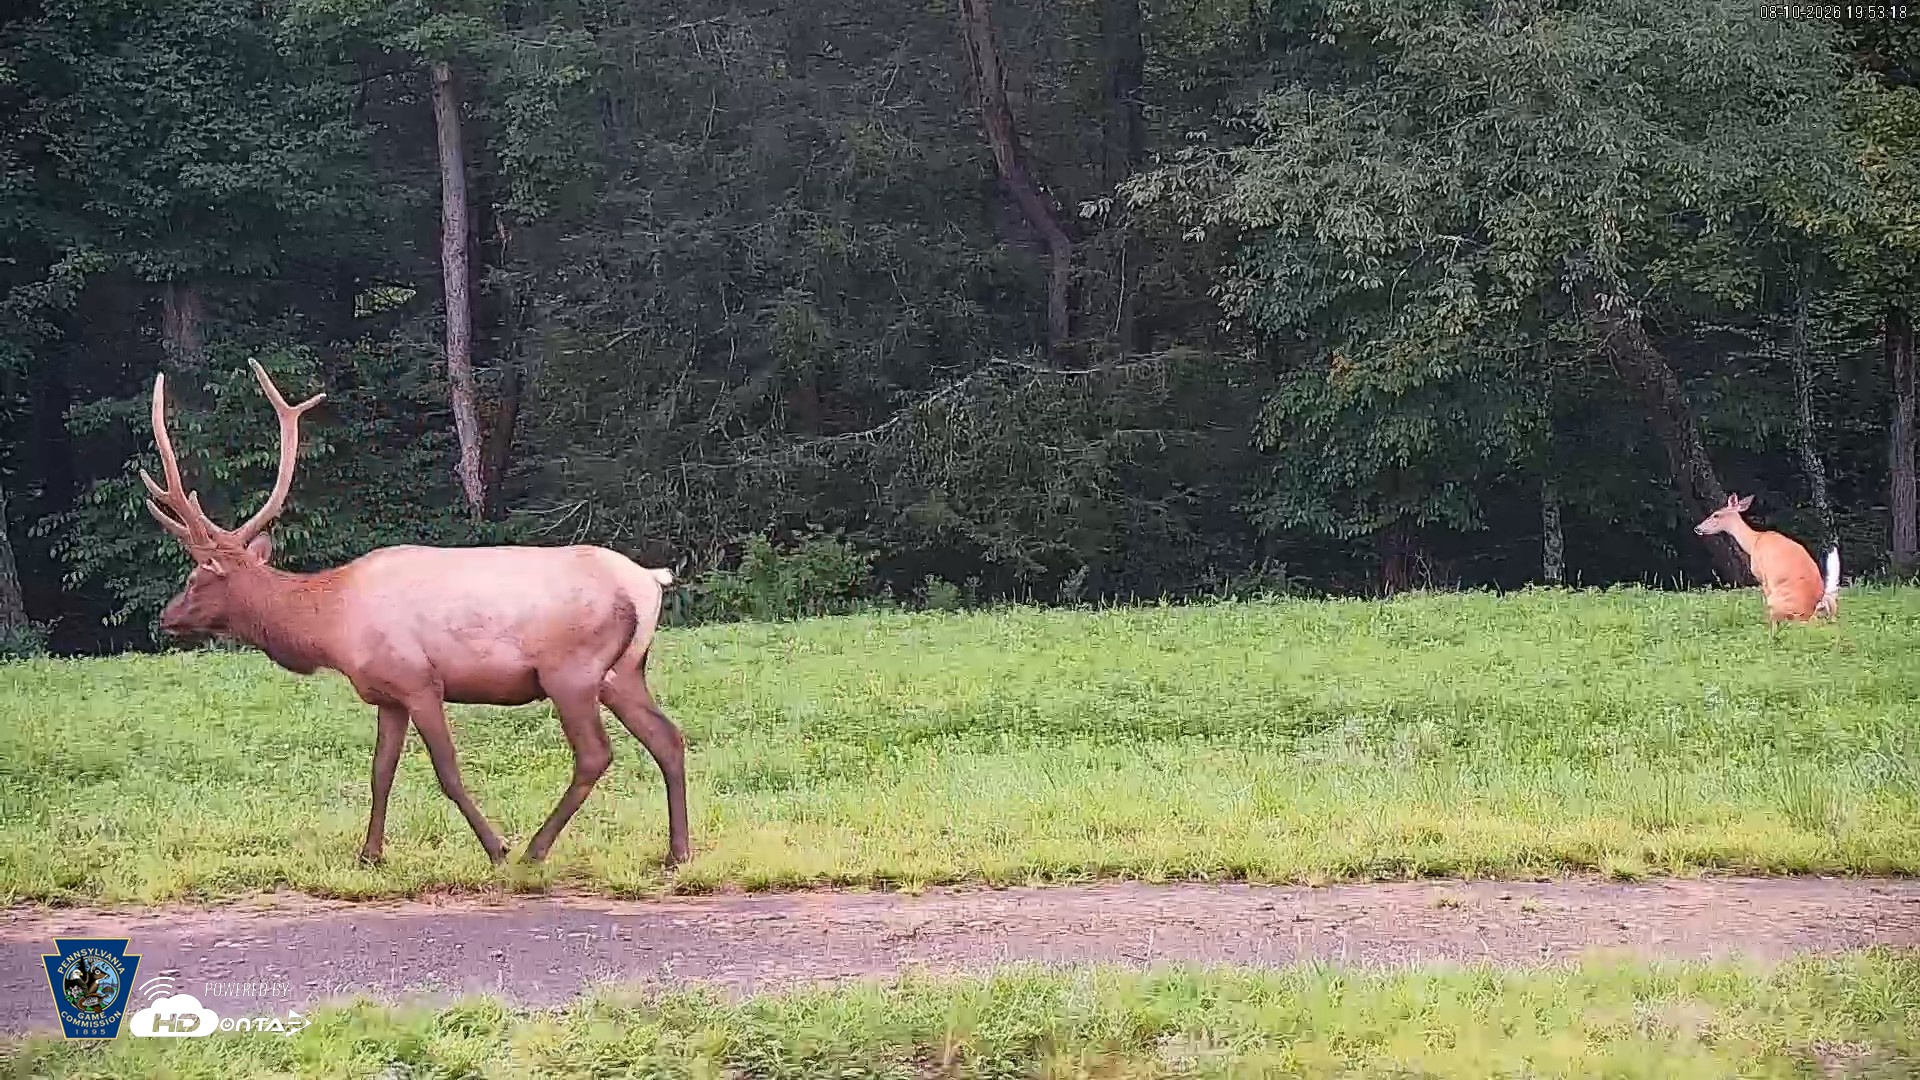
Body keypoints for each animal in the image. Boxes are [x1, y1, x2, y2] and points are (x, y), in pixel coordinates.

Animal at [139, 360, 690, 869]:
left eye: (196, 580)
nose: (167, 617)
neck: (331, 628)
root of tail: (649, 582)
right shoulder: (387, 695)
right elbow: (380, 771)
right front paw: (369, 855)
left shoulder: (420, 681)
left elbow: (447, 771)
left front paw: (496, 848)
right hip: (623, 671)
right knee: (667, 737)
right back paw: (677, 852)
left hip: (571, 670)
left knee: (595, 754)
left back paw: (535, 849)